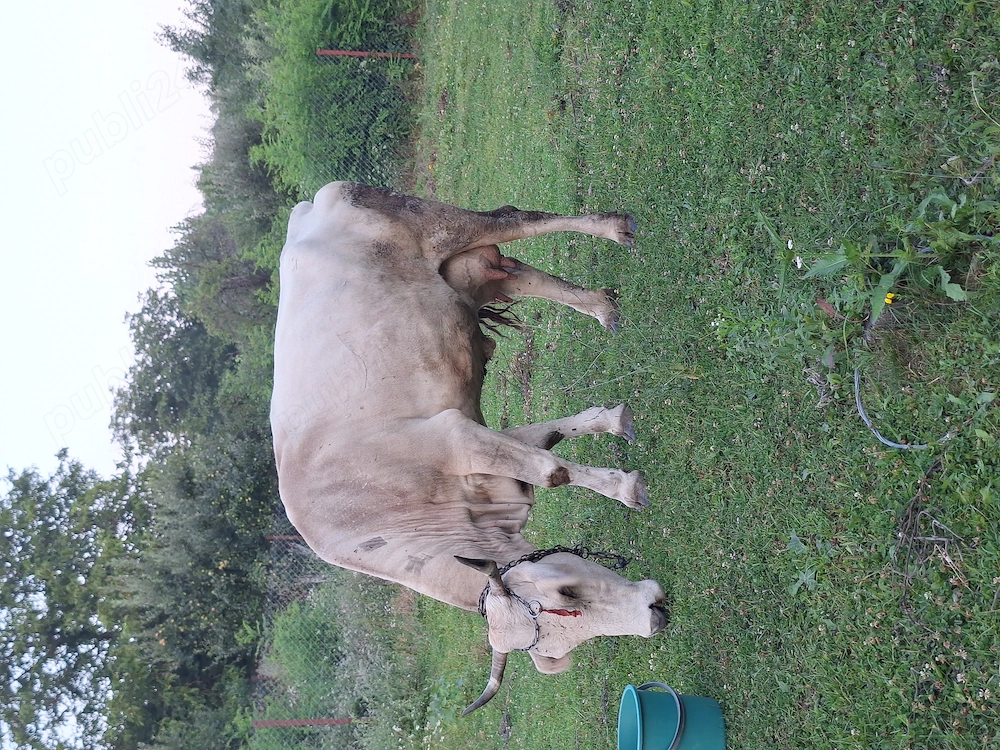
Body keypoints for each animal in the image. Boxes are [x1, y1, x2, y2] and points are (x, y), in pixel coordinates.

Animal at [270, 182, 668, 714]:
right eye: (563, 606)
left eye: (566, 592)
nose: (653, 614)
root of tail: (309, 207)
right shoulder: (487, 448)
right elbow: (551, 443)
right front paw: (613, 422)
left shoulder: (456, 436)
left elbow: (552, 471)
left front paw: (627, 487)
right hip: (470, 275)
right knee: (521, 273)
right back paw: (601, 306)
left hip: (438, 226)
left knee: (514, 217)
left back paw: (614, 227)